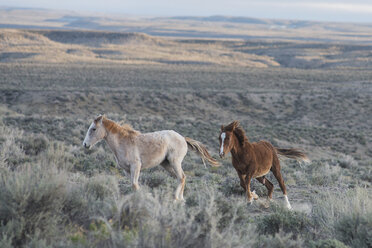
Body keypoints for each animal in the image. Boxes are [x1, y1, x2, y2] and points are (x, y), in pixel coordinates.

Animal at [83, 115, 219, 201]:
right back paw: (181, 199)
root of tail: (183, 138)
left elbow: (135, 184)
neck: (123, 142)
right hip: (166, 164)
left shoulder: (136, 166)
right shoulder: (127, 170)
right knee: (181, 178)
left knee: (181, 177)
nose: (85, 144)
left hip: (175, 162)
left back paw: (176, 198)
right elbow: (133, 185)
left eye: (93, 129)